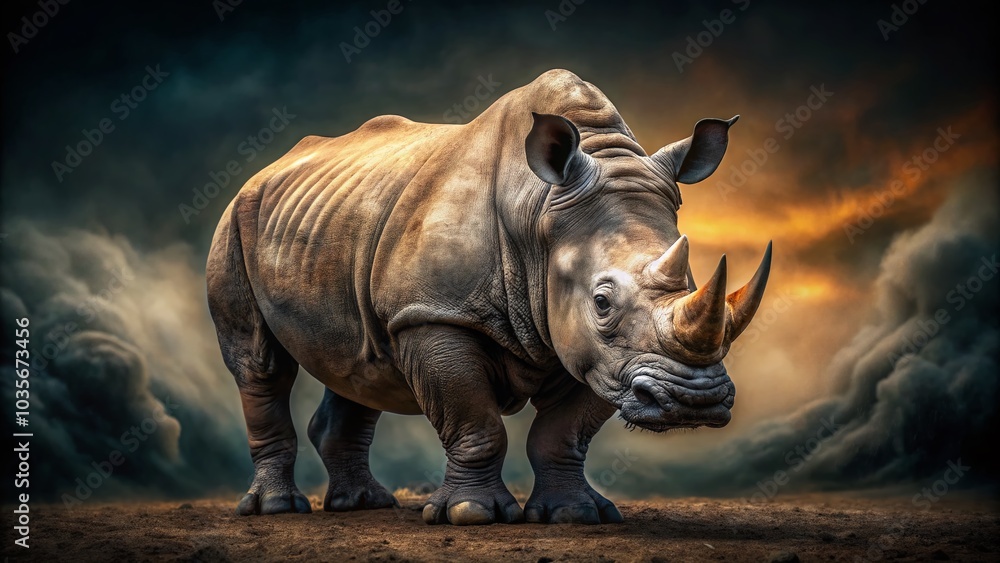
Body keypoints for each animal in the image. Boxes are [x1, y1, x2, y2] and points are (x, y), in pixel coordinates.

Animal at [206, 69, 771, 525]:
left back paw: (362, 506)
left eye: (693, 286)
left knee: (358, 362)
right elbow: (474, 420)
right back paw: (278, 509)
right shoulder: (436, 314)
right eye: (602, 302)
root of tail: (268, 168)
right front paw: (469, 514)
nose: (695, 402)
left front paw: (574, 514)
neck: (540, 213)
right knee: (261, 365)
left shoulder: (600, 355)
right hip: (237, 217)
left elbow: (563, 432)